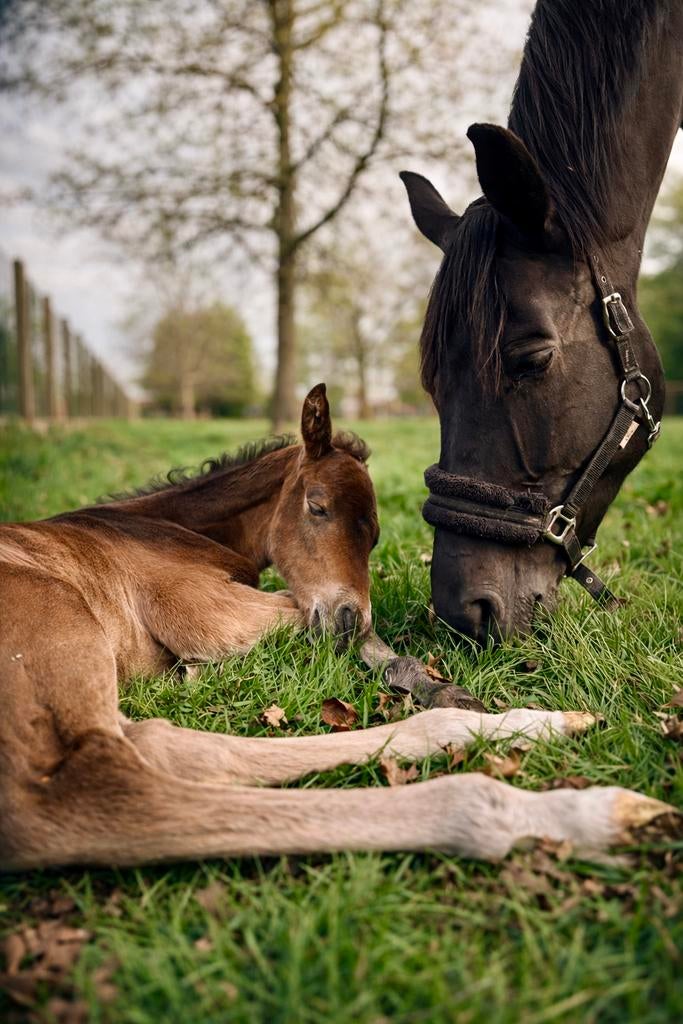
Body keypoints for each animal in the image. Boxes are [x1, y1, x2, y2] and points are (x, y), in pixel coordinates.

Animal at [1, 383, 676, 869]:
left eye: (374, 535)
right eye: (317, 506)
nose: (350, 617)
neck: (163, 529)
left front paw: (439, 687)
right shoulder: (205, 610)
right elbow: (326, 624)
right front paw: (421, 677)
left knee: (166, 744)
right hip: (61, 620)